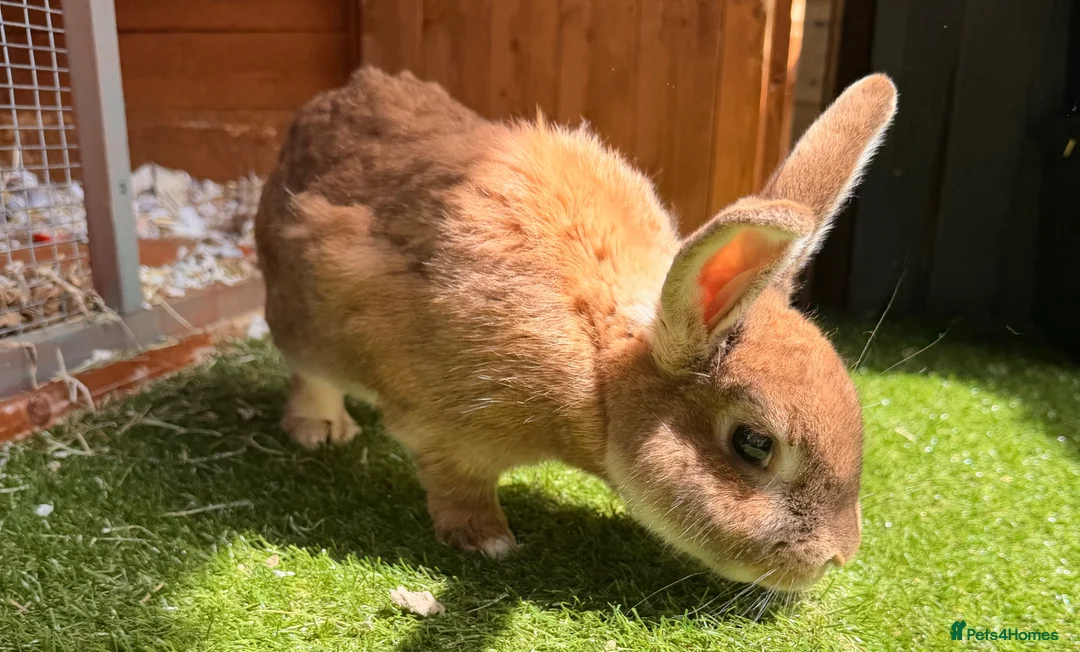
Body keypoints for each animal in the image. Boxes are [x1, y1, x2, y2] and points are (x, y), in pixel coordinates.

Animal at [254, 67, 897, 591]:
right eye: (754, 444)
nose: (837, 557)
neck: (601, 374)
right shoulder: (448, 429)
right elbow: (458, 486)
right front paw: (491, 543)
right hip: (304, 317)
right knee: (307, 372)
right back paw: (323, 431)